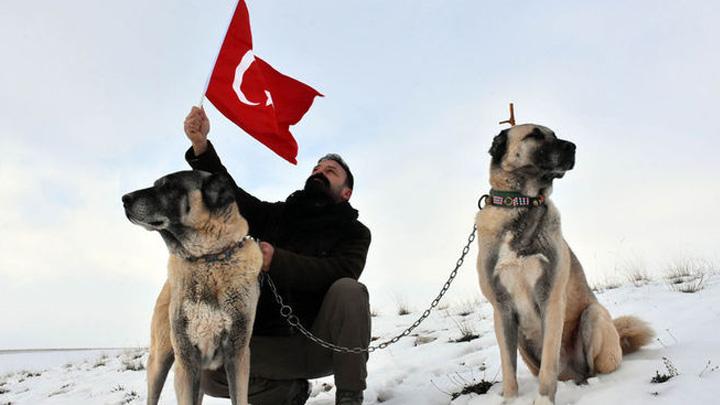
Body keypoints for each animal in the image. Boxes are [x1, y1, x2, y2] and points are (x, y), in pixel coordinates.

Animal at [122, 170, 262, 404]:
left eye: (168, 186)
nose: (124, 199)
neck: (207, 259)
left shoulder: (238, 354)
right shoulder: (186, 359)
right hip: (160, 361)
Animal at [476, 124, 656, 404]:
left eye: (554, 134)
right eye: (535, 134)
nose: (573, 146)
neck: (522, 205)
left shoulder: (550, 299)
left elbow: (549, 362)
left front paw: (543, 400)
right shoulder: (501, 309)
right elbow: (508, 368)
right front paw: (511, 399)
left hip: (593, 315)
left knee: (591, 367)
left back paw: (588, 382)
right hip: (523, 343)